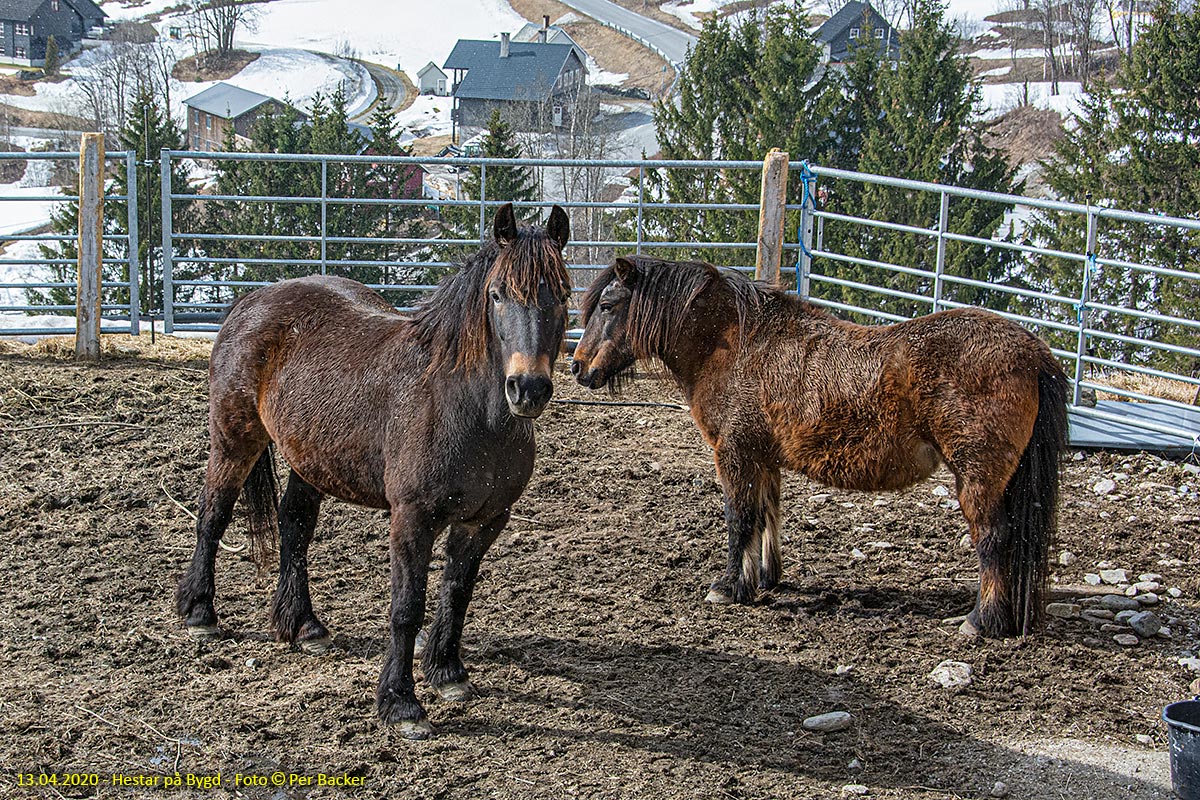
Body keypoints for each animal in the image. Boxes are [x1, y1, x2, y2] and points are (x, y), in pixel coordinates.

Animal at [175, 201, 573, 738]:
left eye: (564, 294)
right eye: (496, 295)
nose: (527, 388)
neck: (464, 407)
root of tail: (254, 299)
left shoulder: (485, 520)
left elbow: (457, 592)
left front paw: (447, 673)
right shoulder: (411, 518)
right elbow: (407, 608)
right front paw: (401, 704)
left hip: (310, 461)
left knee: (294, 526)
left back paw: (304, 625)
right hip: (235, 440)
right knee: (212, 515)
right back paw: (200, 612)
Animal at [571, 256, 1070, 638]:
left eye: (608, 305)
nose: (577, 368)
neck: (732, 345)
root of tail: (1033, 352)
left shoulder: (734, 453)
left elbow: (740, 518)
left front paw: (729, 586)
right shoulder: (762, 456)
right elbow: (767, 515)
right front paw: (764, 579)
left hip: (977, 477)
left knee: (994, 539)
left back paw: (981, 621)